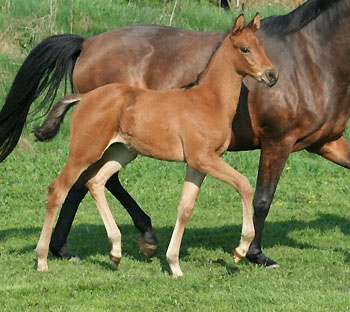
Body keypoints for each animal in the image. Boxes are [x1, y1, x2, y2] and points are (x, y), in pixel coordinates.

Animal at [34, 14, 276, 276]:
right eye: (245, 49)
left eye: (262, 46)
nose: (272, 75)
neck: (209, 101)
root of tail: (84, 97)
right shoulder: (203, 157)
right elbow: (244, 185)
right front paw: (241, 250)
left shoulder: (197, 164)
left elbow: (185, 208)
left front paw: (174, 265)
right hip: (84, 151)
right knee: (58, 189)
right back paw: (42, 259)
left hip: (121, 152)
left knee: (95, 181)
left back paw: (115, 251)